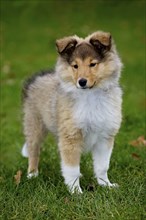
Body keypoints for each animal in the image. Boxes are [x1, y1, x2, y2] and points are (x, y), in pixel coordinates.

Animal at [21, 31, 122, 192]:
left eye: (93, 64)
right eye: (75, 66)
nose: (82, 82)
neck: (90, 95)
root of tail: (36, 77)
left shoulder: (105, 137)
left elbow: (102, 166)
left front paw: (106, 185)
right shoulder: (71, 137)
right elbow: (73, 169)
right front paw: (76, 192)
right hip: (34, 124)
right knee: (33, 150)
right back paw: (32, 175)